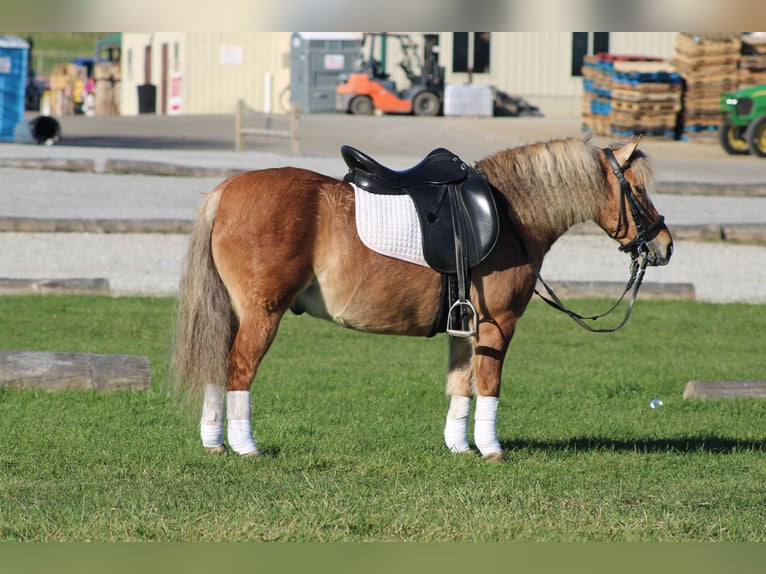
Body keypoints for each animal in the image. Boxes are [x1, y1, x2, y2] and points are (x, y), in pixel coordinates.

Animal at [170, 135, 673, 462]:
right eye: (637, 190)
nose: (664, 246)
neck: (511, 215)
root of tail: (225, 190)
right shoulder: (497, 324)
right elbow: (488, 384)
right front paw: (491, 449)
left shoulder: (464, 326)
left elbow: (460, 385)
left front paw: (460, 446)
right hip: (262, 314)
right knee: (238, 369)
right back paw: (245, 446)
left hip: (233, 313)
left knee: (218, 365)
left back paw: (215, 443)